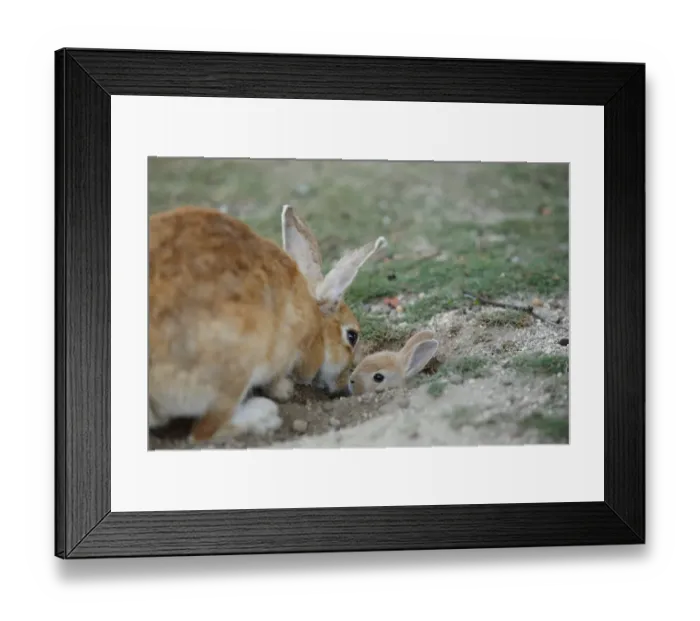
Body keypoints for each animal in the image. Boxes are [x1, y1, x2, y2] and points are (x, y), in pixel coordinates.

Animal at [147, 203, 387, 443]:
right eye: (352, 336)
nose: (343, 387)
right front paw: (285, 389)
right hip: (237, 367)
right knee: (203, 432)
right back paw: (264, 415)